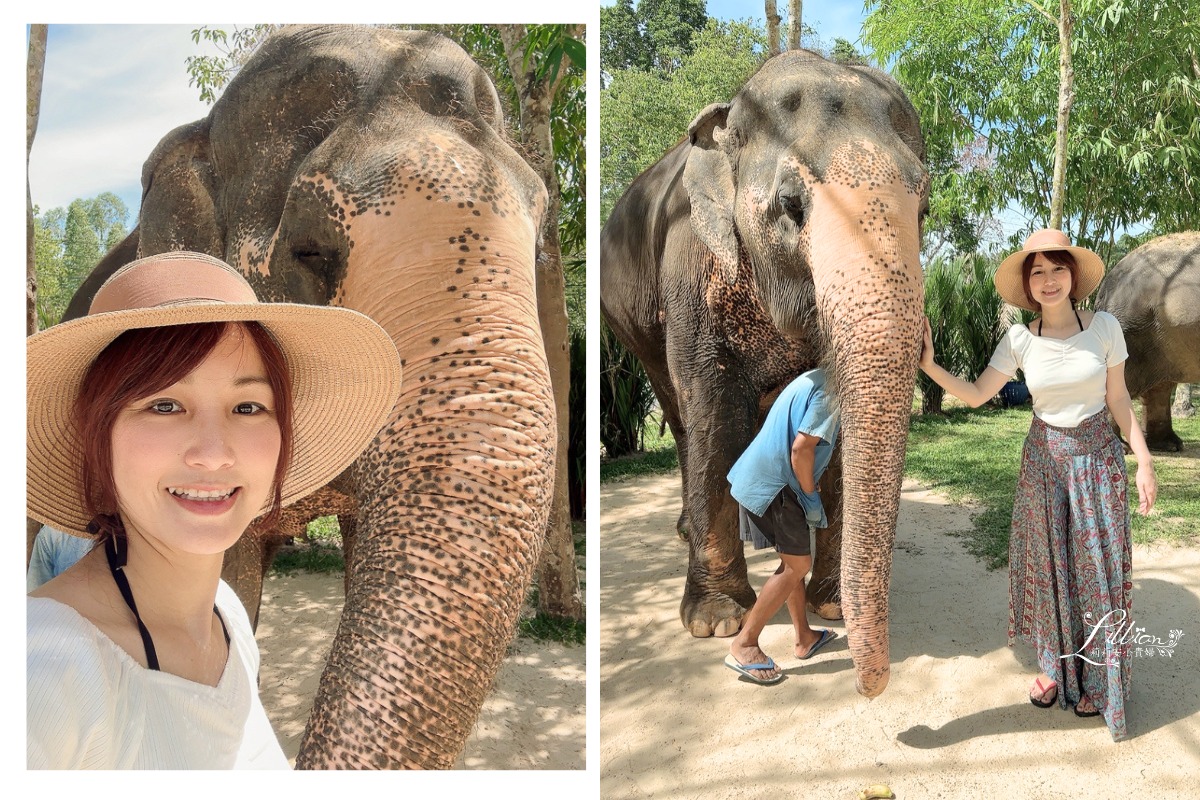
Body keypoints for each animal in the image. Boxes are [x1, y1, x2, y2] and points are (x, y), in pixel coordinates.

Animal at [600, 51, 926, 700]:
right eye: (791, 205)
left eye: (924, 206)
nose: (871, 687)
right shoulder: (691, 267)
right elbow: (715, 412)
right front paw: (716, 620)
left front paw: (829, 607)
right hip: (631, 322)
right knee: (683, 418)